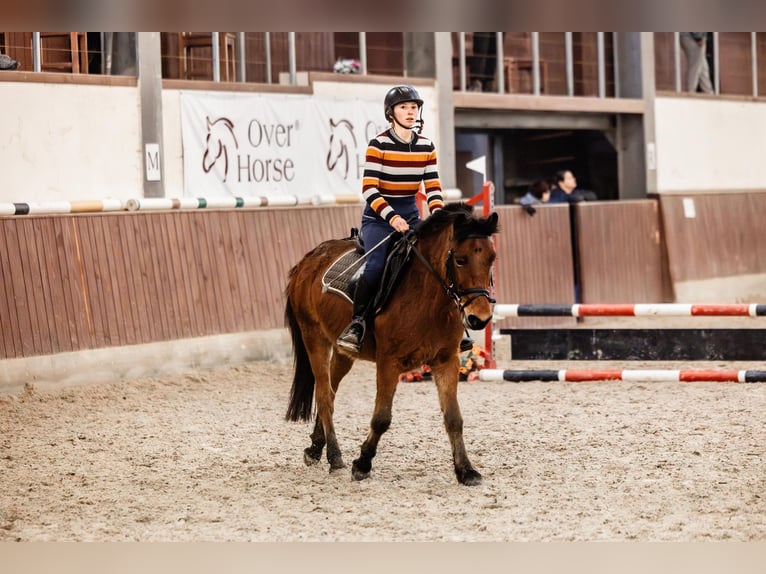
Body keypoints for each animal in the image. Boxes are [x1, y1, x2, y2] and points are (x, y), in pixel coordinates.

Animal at [284, 202, 500, 486]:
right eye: (460, 260)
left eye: (491, 258)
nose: (479, 318)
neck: (427, 297)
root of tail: (307, 260)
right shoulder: (389, 363)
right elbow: (381, 418)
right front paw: (362, 464)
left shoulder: (446, 360)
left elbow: (454, 418)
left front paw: (466, 470)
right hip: (313, 336)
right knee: (323, 393)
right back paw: (334, 456)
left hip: (342, 351)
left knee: (330, 390)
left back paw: (316, 448)